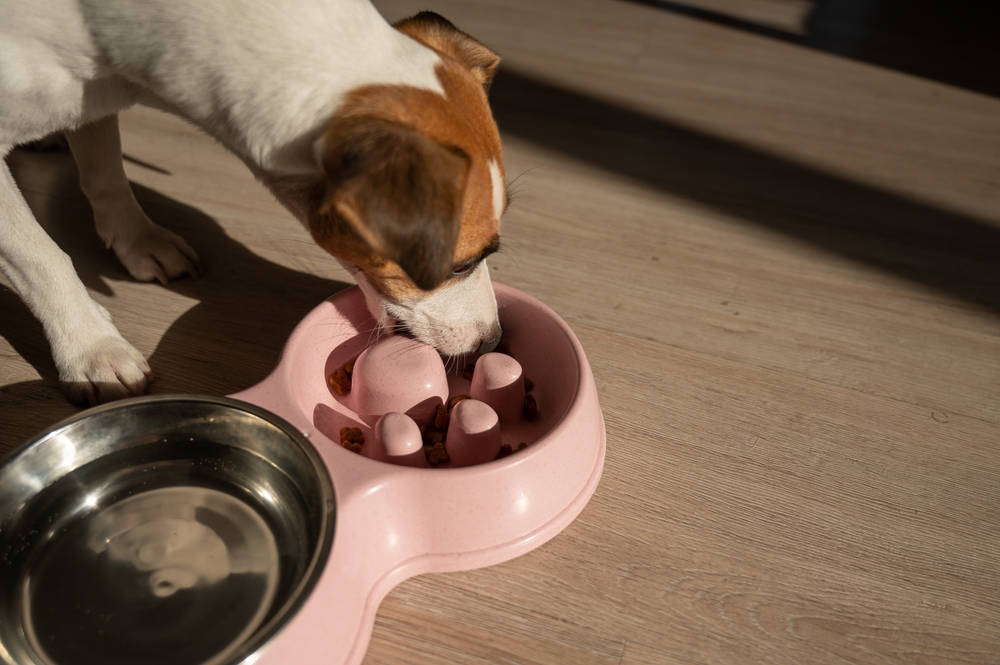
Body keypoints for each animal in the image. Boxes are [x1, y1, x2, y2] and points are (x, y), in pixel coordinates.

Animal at [0, 0, 508, 402]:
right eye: (460, 265)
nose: (493, 341)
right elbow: (41, 257)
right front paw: (91, 347)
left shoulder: (95, 100)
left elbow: (106, 172)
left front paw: (139, 241)